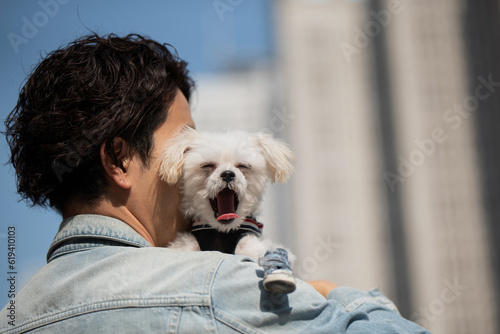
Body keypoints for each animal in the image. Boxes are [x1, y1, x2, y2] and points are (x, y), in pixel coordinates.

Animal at [158, 126, 294, 290]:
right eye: (207, 165)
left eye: (243, 166)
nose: (228, 174)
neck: (222, 232)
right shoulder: (186, 247)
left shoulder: (252, 247)